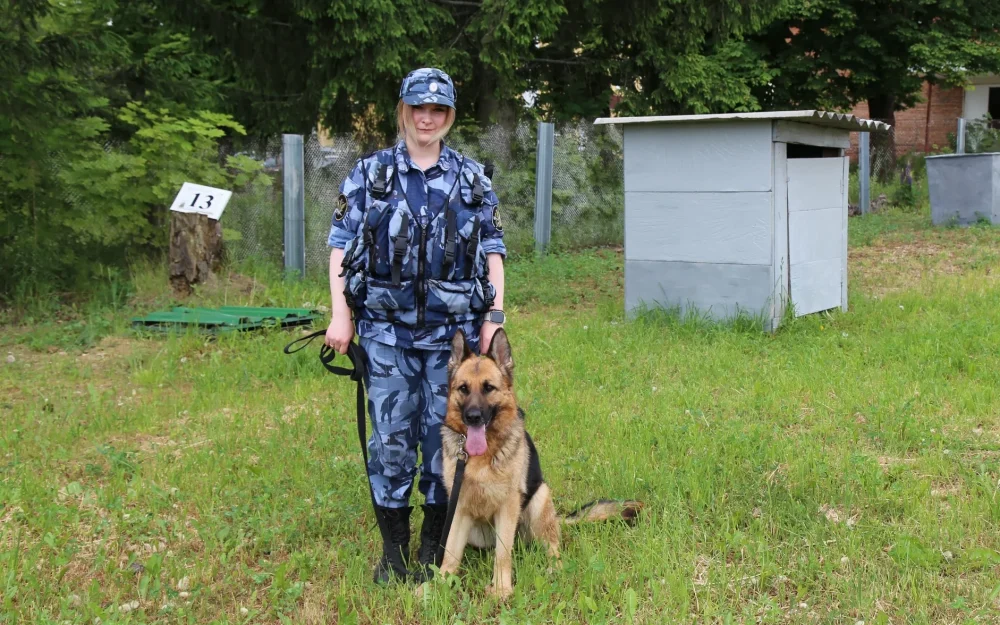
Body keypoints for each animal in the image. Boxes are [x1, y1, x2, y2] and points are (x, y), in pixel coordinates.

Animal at [434, 330, 644, 596]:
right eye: (463, 389)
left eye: (489, 388)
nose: (473, 417)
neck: (482, 456)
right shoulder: (459, 507)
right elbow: (450, 552)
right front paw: (436, 585)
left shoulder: (508, 507)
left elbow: (503, 554)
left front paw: (501, 589)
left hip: (540, 498)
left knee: (552, 547)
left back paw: (555, 568)